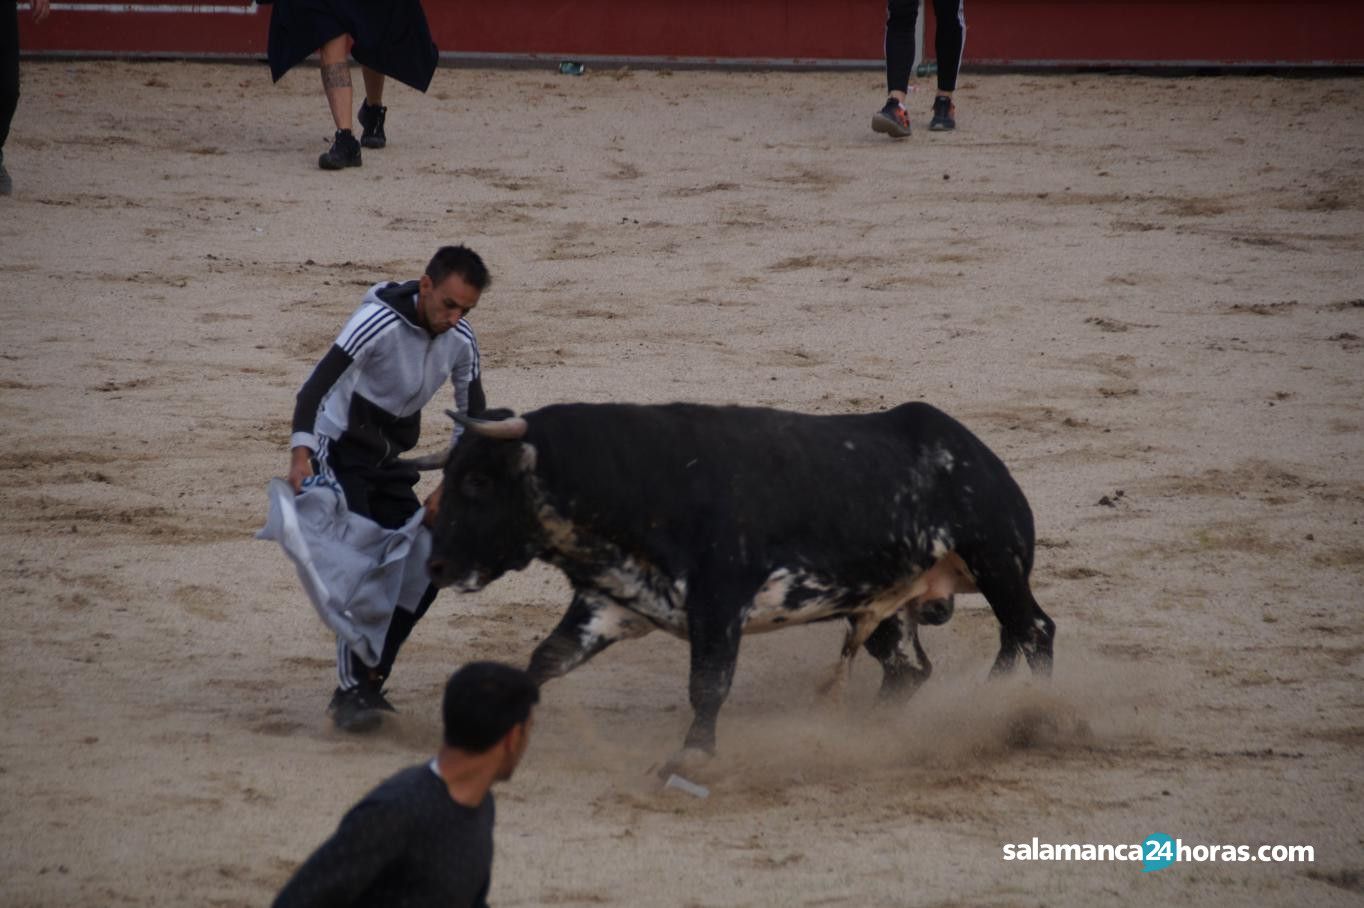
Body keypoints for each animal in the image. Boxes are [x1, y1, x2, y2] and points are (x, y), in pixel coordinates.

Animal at [428, 400, 1053, 758]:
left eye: (478, 480)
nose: (436, 565)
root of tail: (981, 456)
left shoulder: (719, 605)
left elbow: (708, 685)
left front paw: (693, 759)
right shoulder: (611, 604)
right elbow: (545, 661)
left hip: (998, 563)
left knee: (1034, 631)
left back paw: (1037, 718)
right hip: (886, 607)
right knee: (909, 670)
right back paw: (866, 735)